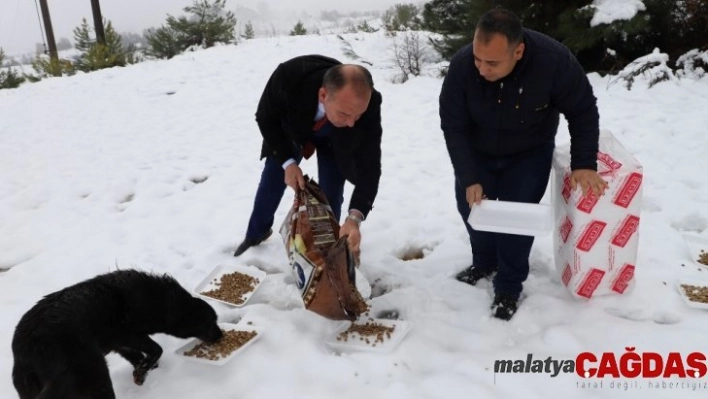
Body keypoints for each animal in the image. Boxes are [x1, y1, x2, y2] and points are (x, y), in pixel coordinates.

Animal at [12, 270, 223, 398]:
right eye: (211, 323)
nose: (221, 336)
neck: (159, 300)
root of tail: (28, 352)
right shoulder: (128, 335)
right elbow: (157, 349)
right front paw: (143, 372)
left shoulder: (119, 344)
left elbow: (139, 357)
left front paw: (143, 371)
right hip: (96, 374)